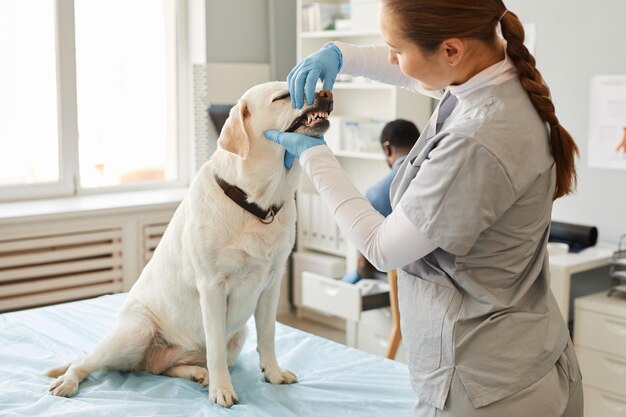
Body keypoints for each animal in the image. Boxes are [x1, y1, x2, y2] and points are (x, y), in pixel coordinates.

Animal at [45, 81, 332, 406]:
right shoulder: (212, 286)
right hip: (136, 332)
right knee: (87, 362)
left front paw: (272, 373)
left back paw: (197, 373)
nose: (327, 93)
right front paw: (222, 390)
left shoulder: (271, 284)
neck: (254, 203)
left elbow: (268, 337)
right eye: (283, 96)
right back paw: (68, 382)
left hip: (237, 336)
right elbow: (215, 347)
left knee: (159, 368)